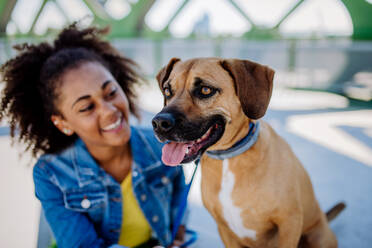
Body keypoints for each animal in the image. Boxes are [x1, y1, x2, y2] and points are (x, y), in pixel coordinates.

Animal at [152, 57, 346, 248]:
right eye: (167, 90)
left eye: (205, 90)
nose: (159, 123)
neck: (227, 158)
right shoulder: (225, 230)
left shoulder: (289, 223)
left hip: (316, 237)